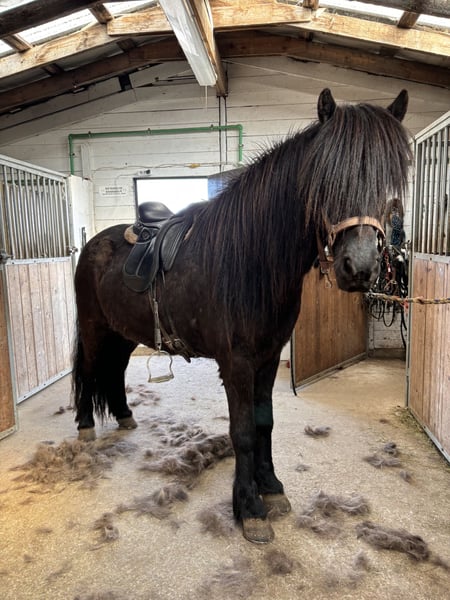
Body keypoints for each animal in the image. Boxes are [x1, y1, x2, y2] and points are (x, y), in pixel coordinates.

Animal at [72, 89, 411, 543]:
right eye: (324, 179)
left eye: (388, 181)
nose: (358, 268)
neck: (250, 260)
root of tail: (94, 243)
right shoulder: (236, 364)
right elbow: (244, 432)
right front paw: (249, 507)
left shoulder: (267, 359)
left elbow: (264, 423)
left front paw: (271, 489)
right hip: (94, 329)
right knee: (90, 370)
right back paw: (86, 427)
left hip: (123, 333)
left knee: (114, 371)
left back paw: (124, 416)